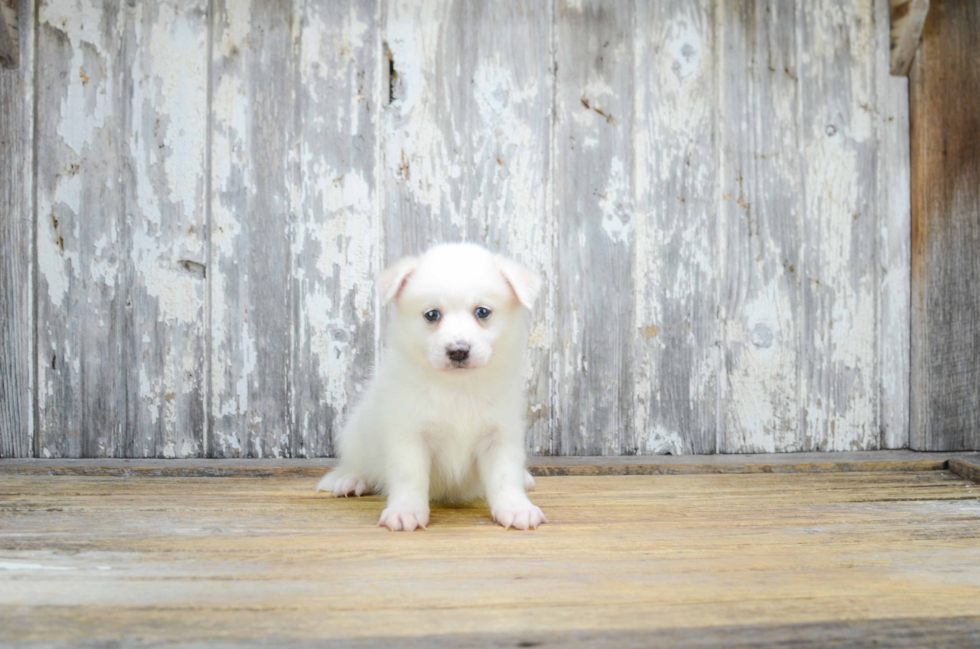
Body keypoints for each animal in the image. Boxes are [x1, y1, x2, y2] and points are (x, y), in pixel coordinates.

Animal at [316, 240, 548, 528]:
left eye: (482, 312)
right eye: (432, 314)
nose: (458, 351)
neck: (458, 388)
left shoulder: (499, 435)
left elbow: (505, 476)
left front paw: (516, 508)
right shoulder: (409, 435)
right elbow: (410, 477)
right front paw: (405, 512)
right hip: (355, 435)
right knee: (359, 464)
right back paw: (350, 480)